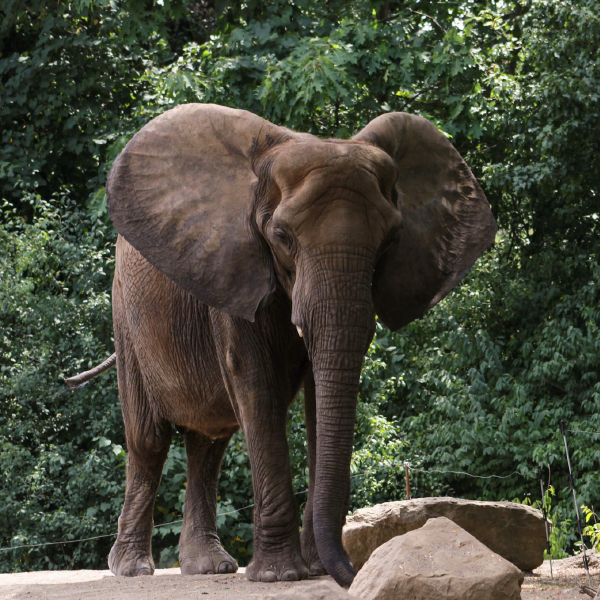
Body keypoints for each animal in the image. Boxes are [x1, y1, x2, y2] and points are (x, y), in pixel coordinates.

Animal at [65, 102, 496, 584]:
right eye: (282, 237)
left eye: (389, 241)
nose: (351, 575)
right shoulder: (235, 266)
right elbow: (255, 382)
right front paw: (280, 575)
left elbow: (315, 398)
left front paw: (313, 570)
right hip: (125, 313)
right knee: (149, 439)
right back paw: (133, 569)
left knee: (208, 443)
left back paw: (209, 567)